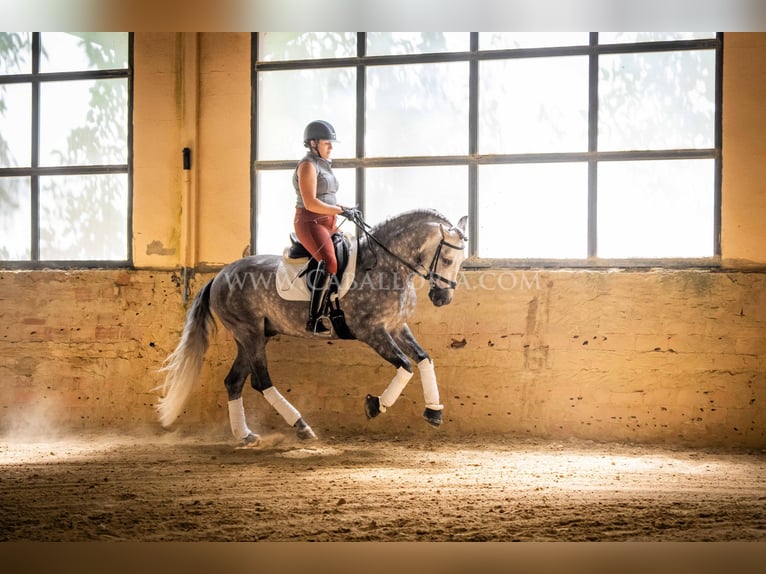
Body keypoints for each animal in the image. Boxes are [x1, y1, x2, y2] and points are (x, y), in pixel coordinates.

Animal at [156, 209, 468, 448]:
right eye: (447, 259)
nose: (442, 298)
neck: (387, 266)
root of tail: (219, 276)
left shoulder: (396, 327)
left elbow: (424, 359)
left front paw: (433, 413)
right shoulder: (372, 331)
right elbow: (405, 366)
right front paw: (374, 406)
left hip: (255, 336)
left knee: (234, 381)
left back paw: (245, 435)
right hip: (250, 333)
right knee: (261, 381)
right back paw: (301, 426)